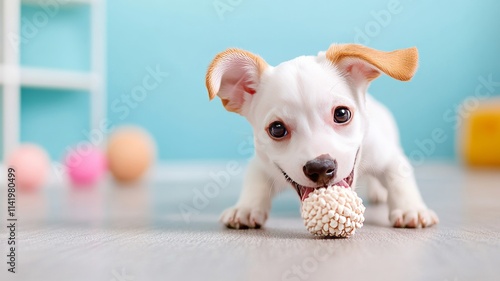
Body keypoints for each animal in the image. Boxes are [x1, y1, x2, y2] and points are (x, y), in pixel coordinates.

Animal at [203, 43, 438, 228]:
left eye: (342, 114)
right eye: (277, 129)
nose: (320, 167)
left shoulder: (386, 156)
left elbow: (398, 178)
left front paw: (411, 209)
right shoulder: (262, 164)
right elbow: (255, 182)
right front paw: (245, 207)